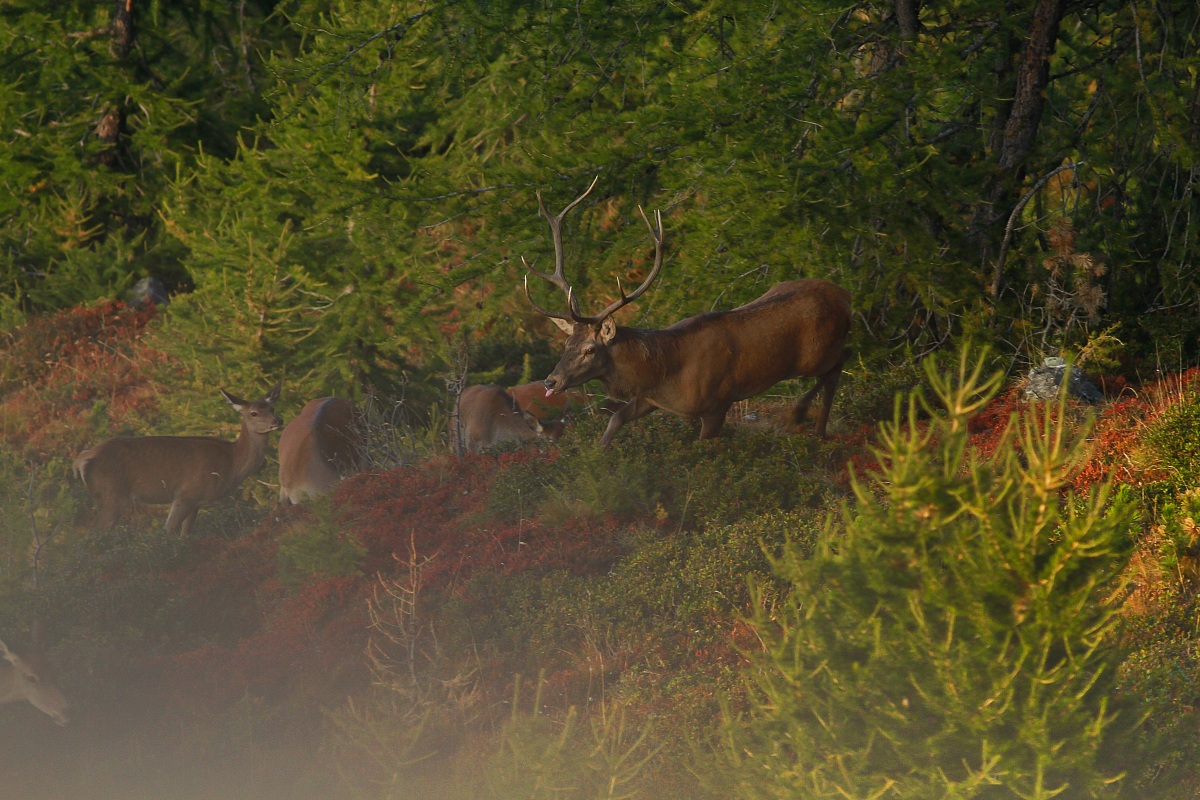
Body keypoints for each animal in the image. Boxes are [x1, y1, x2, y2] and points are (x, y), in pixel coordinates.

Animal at [73, 384, 283, 537]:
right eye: (254, 413)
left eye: (272, 407)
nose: (277, 421)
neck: (231, 463)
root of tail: (82, 459)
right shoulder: (187, 493)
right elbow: (169, 531)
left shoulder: (197, 501)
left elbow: (186, 535)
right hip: (112, 493)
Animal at [523, 178, 852, 446]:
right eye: (567, 343)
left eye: (590, 350)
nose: (550, 381)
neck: (663, 371)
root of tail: (845, 295)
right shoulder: (652, 397)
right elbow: (615, 420)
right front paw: (596, 457)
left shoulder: (718, 403)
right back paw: (819, 431)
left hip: (817, 354)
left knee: (840, 363)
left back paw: (804, 416)